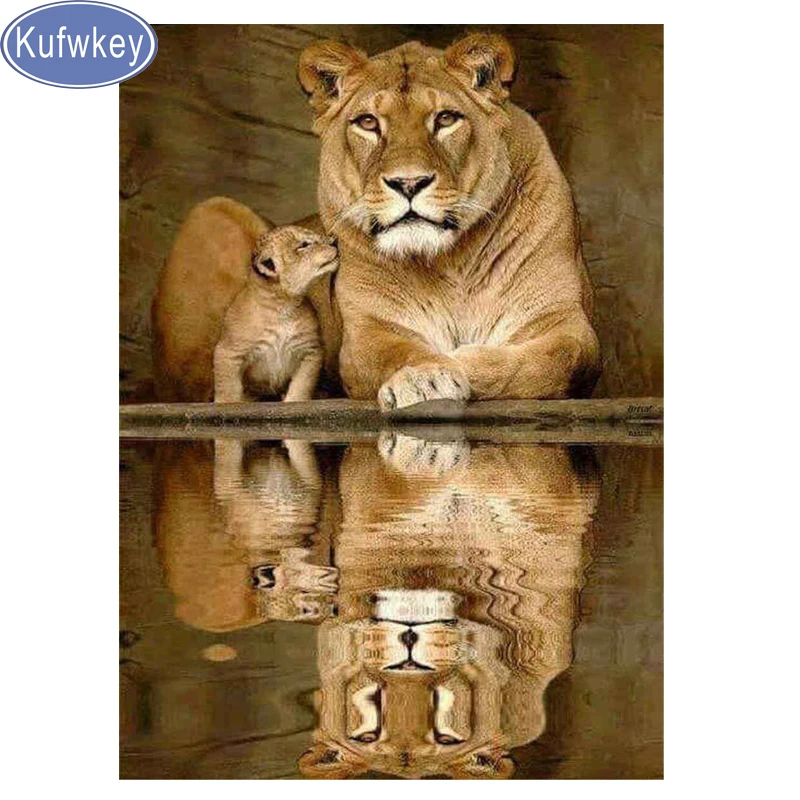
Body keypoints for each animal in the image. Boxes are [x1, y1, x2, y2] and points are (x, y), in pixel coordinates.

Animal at [151, 34, 599, 406]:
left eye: (445, 119)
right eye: (368, 122)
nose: (408, 182)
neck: (451, 261)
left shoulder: (568, 324)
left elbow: (550, 361)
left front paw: (456, 364)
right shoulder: (366, 333)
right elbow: (394, 352)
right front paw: (424, 377)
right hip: (213, 210)